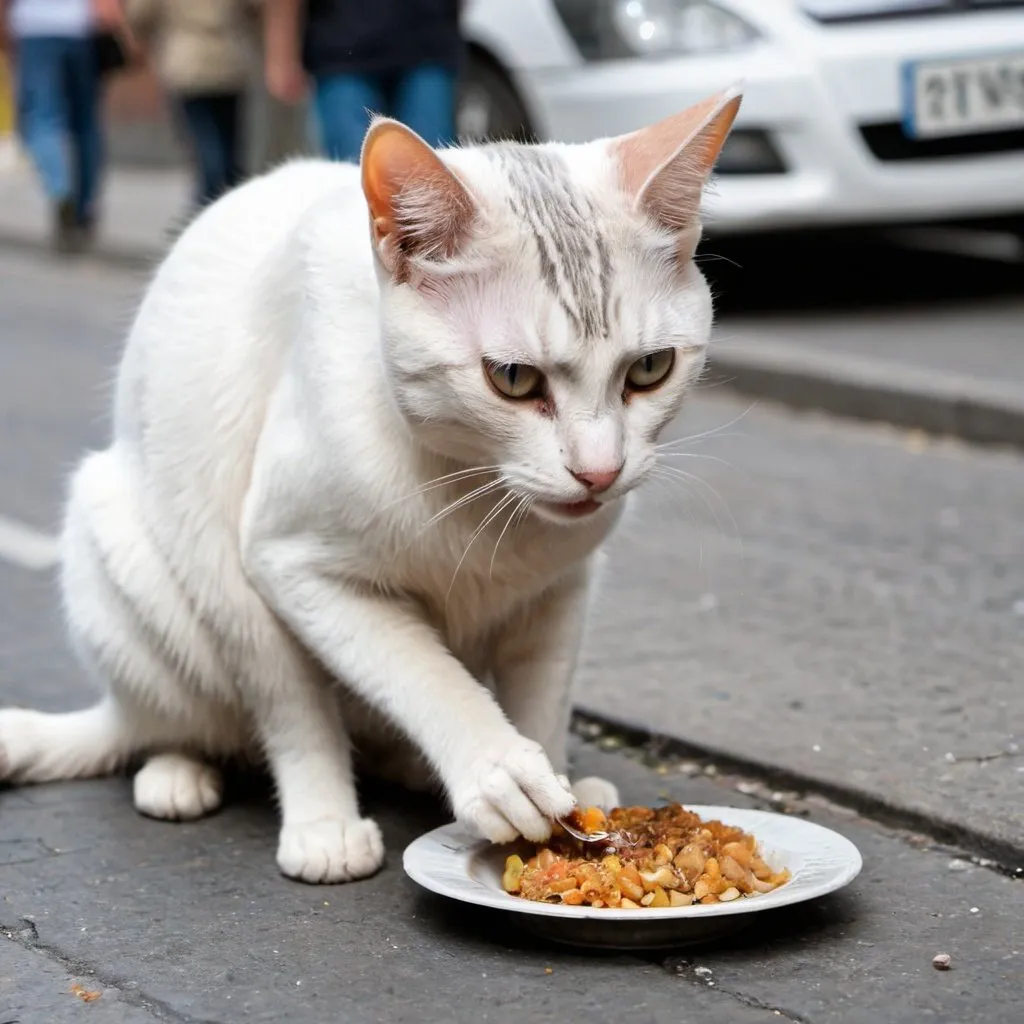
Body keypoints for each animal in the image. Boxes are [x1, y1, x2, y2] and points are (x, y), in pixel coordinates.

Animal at [0, 86, 737, 880]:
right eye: (512, 379)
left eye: (650, 370)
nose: (598, 470)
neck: (481, 498)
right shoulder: (286, 564)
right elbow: (396, 680)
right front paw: (488, 770)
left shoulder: (561, 590)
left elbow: (542, 693)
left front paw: (561, 794)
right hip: (142, 551)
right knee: (198, 717)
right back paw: (205, 780)